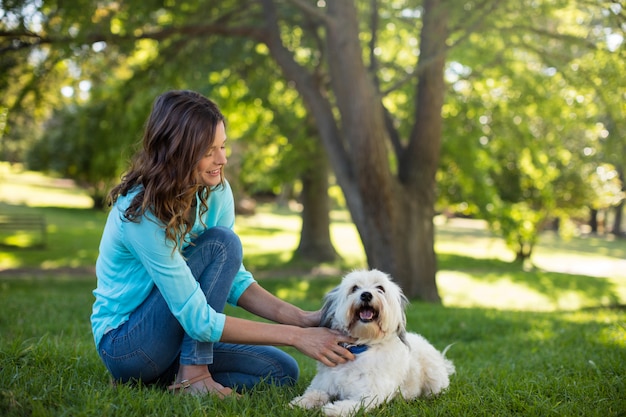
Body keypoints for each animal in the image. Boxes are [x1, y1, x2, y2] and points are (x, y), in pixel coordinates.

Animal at [290, 268, 450, 414]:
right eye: (354, 288)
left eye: (380, 288)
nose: (366, 294)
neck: (361, 346)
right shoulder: (323, 384)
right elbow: (315, 393)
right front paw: (301, 402)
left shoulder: (369, 395)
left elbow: (352, 405)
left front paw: (333, 409)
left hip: (433, 379)